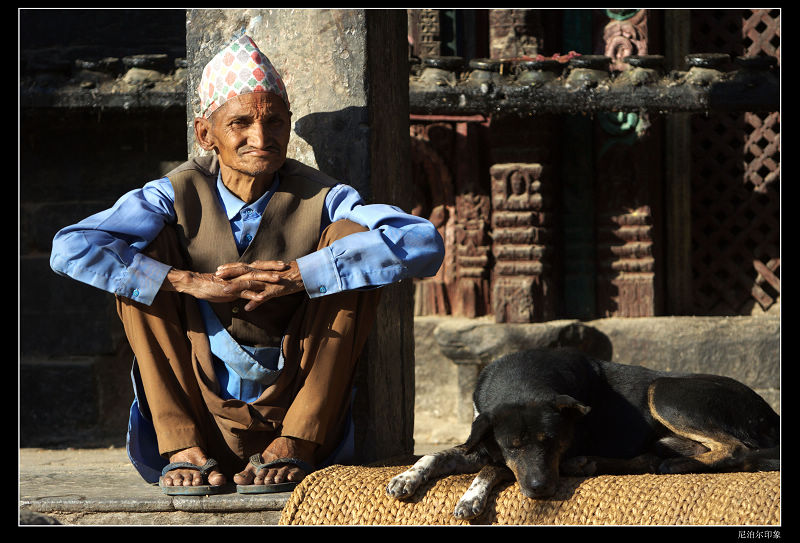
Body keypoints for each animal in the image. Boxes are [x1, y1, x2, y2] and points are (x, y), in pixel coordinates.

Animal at [388, 346, 780, 520]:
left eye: (552, 441)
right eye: (513, 445)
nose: (540, 489)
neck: (521, 382)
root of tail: (770, 415)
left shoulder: (513, 460)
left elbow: (492, 470)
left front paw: (471, 497)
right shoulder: (484, 443)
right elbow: (434, 455)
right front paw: (407, 477)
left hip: (665, 390)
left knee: (737, 451)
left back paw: (675, 466)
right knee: (654, 456)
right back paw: (591, 463)